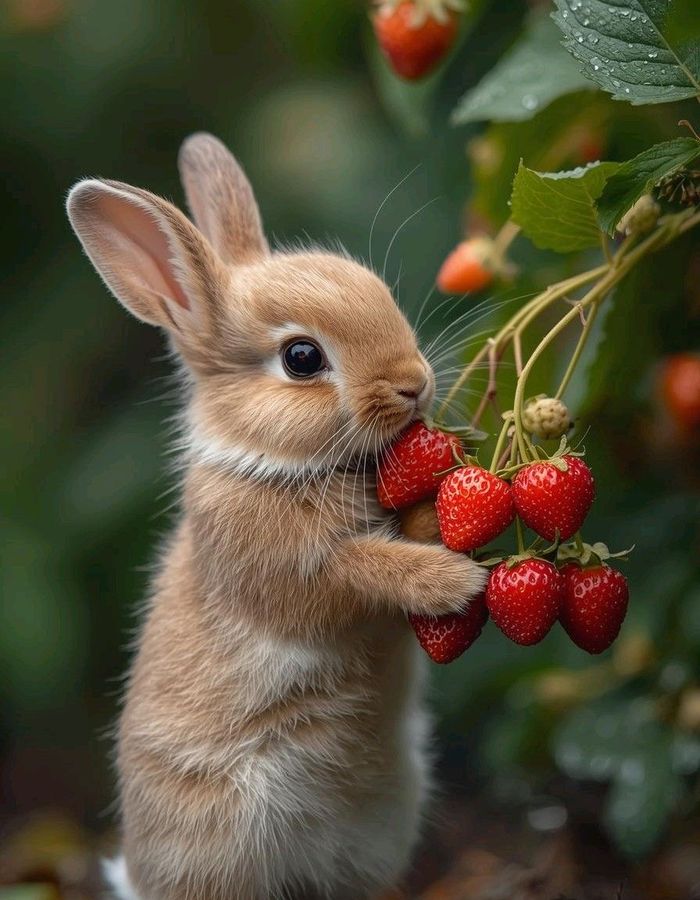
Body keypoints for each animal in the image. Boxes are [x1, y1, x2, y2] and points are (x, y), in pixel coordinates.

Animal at [66, 133, 487, 900]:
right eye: (301, 358)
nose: (415, 384)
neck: (275, 462)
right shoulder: (287, 576)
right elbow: (360, 567)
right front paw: (451, 582)